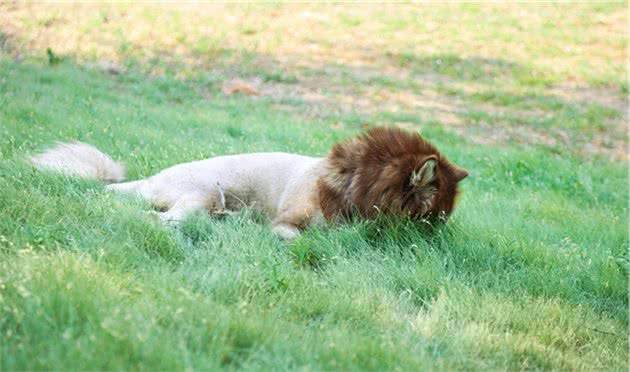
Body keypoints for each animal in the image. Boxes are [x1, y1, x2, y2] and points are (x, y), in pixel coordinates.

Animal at [29, 127, 470, 238]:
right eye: (431, 220)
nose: (437, 240)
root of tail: (151, 178)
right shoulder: (290, 222)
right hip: (206, 193)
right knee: (160, 220)